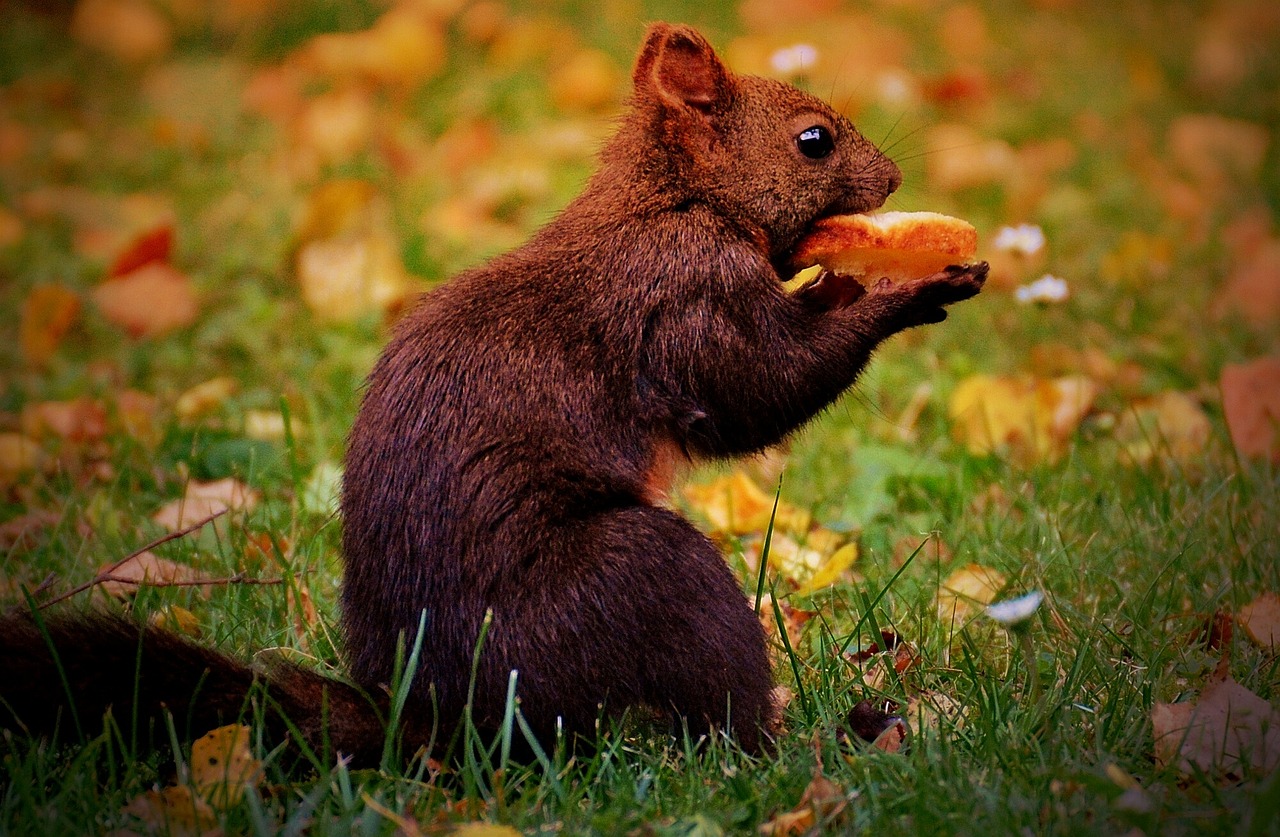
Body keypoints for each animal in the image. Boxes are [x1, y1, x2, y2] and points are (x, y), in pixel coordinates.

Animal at [0, 21, 988, 767]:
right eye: (812, 139)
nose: (895, 183)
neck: (671, 203)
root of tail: (448, 723)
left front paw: (848, 275)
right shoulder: (683, 300)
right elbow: (760, 391)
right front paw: (898, 291)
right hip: (643, 582)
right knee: (716, 717)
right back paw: (814, 745)